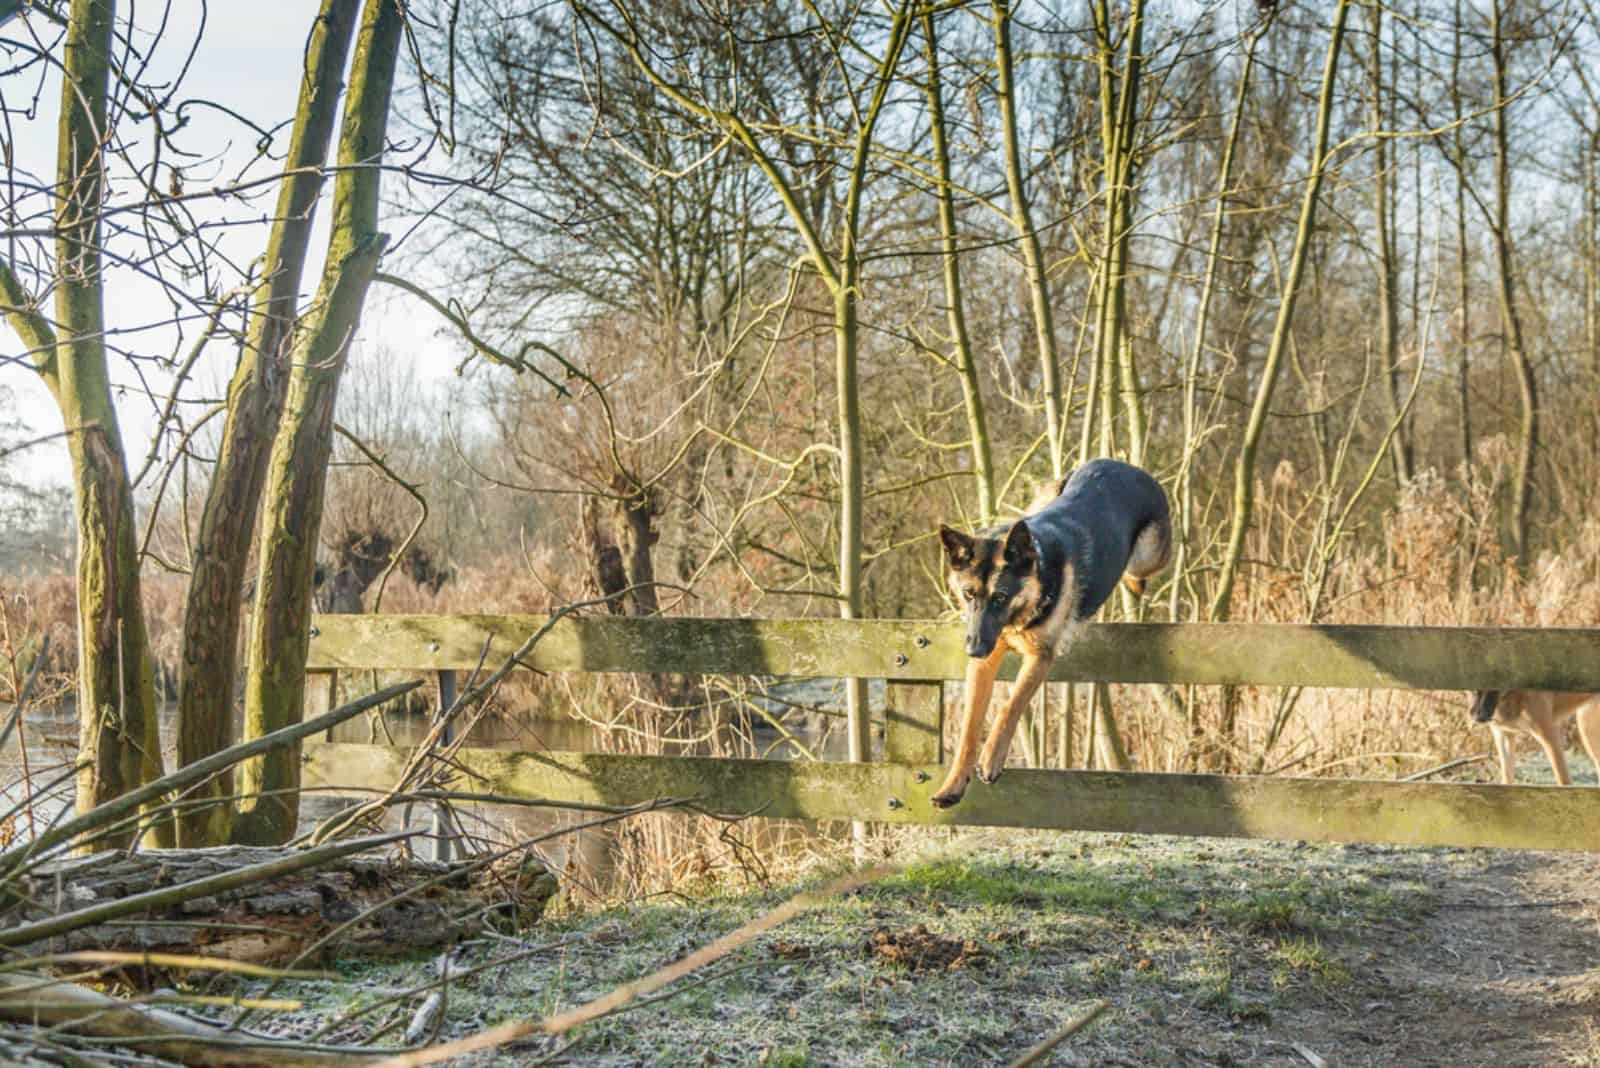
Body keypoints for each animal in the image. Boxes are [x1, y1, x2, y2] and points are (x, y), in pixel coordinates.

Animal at [934, 460, 1171, 808]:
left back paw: (1133, 582)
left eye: (1001, 597)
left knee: (1142, 570)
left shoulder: (1040, 656)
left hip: (1148, 554)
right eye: (968, 594)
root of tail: (1123, 465)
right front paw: (953, 783)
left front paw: (991, 757)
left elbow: (1011, 705)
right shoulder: (985, 661)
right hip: (1046, 494)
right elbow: (968, 727)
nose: (974, 649)